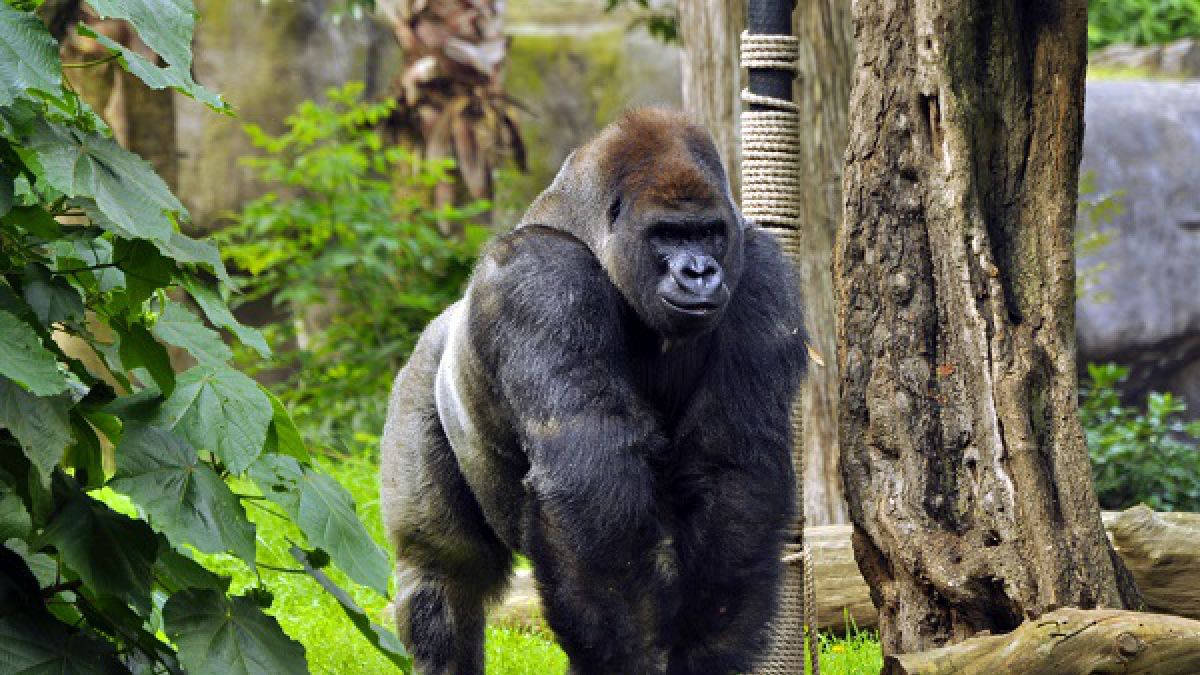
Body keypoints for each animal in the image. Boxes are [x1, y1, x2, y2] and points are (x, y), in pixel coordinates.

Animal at [379, 109, 811, 672]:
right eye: (667, 234)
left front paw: (707, 648)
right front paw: (630, 657)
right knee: (444, 572)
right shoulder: (543, 279)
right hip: (417, 382)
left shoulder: (761, 273)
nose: (699, 271)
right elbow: (591, 478)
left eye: (710, 234)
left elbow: (732, 470)